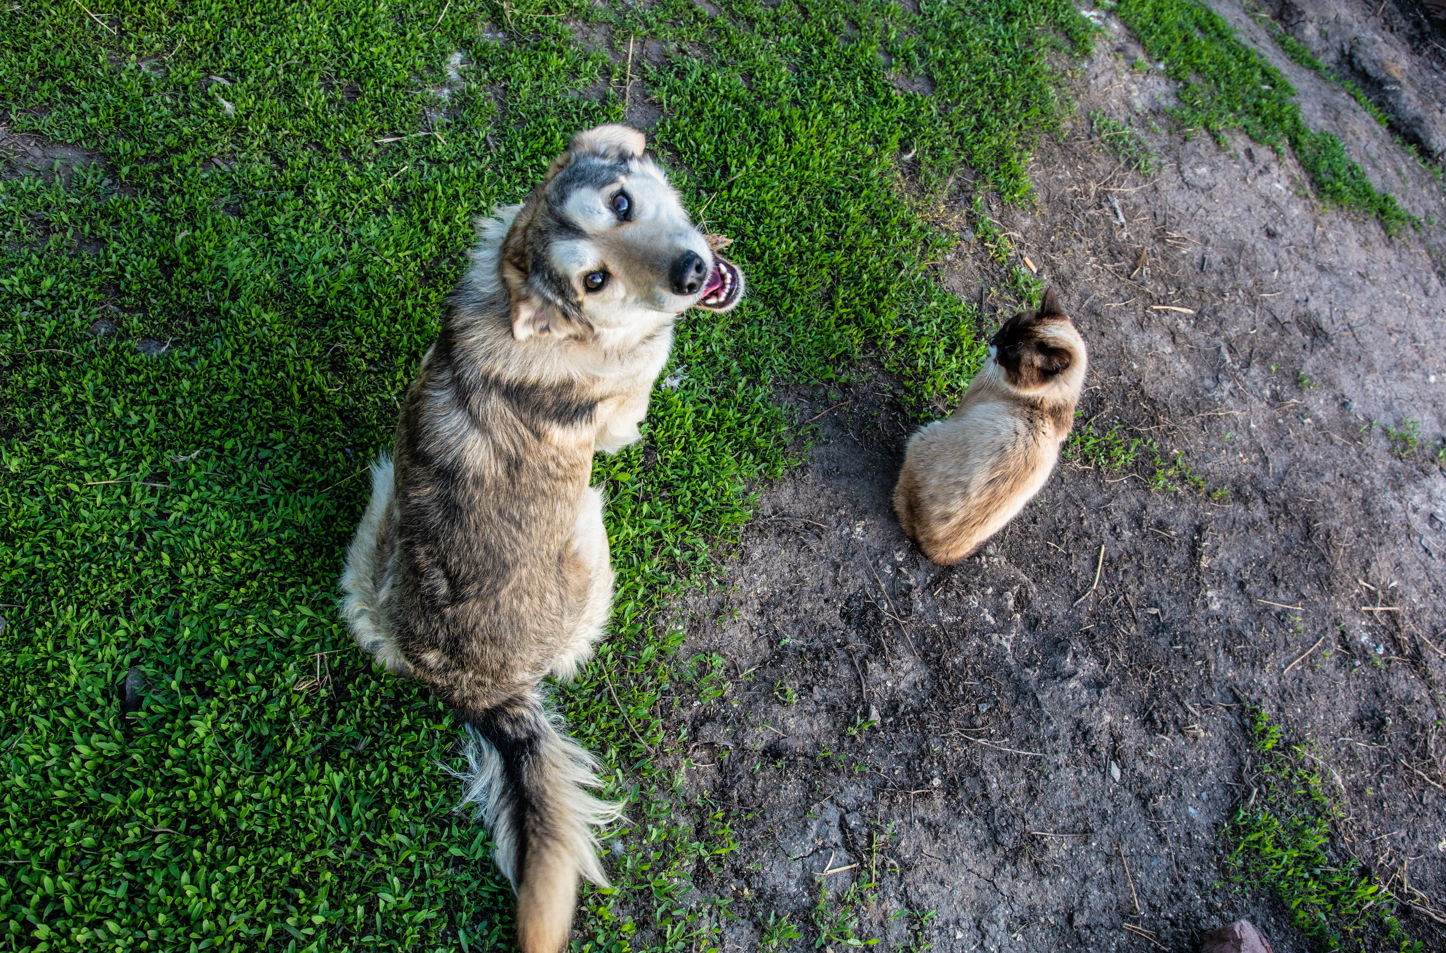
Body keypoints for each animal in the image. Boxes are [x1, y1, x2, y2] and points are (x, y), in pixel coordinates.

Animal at [338, 126, 746, 953]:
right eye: (594, 279)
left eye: (622, 203)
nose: (692, 271)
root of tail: (478, 691)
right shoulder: (623, 412)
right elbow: (628, 421)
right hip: (592, 539)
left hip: (371, 543)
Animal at [890, 287, 1087, 563]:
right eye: (1008, 328)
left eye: (1011, 349)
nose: (993, 341)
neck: (1044, 406)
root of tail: (934, 551)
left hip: (924, 435)